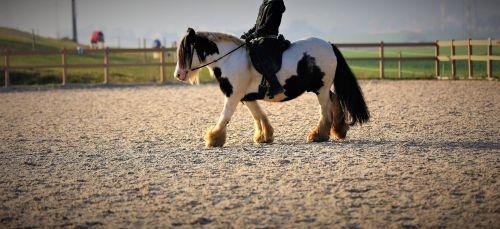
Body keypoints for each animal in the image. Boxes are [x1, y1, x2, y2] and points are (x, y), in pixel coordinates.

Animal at [174, 28, 370, 147]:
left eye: (186, 50)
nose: (178, 75)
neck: (230, 59)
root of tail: (329, 45)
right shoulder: (247, 97)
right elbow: (258, 115)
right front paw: (264, 136)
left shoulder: (233, 95)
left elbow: (225, 116)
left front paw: (213, 138)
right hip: (321, 87)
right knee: (335, 100)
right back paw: (339, 130)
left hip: (320, 88)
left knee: (326, 109)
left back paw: (318, 135)